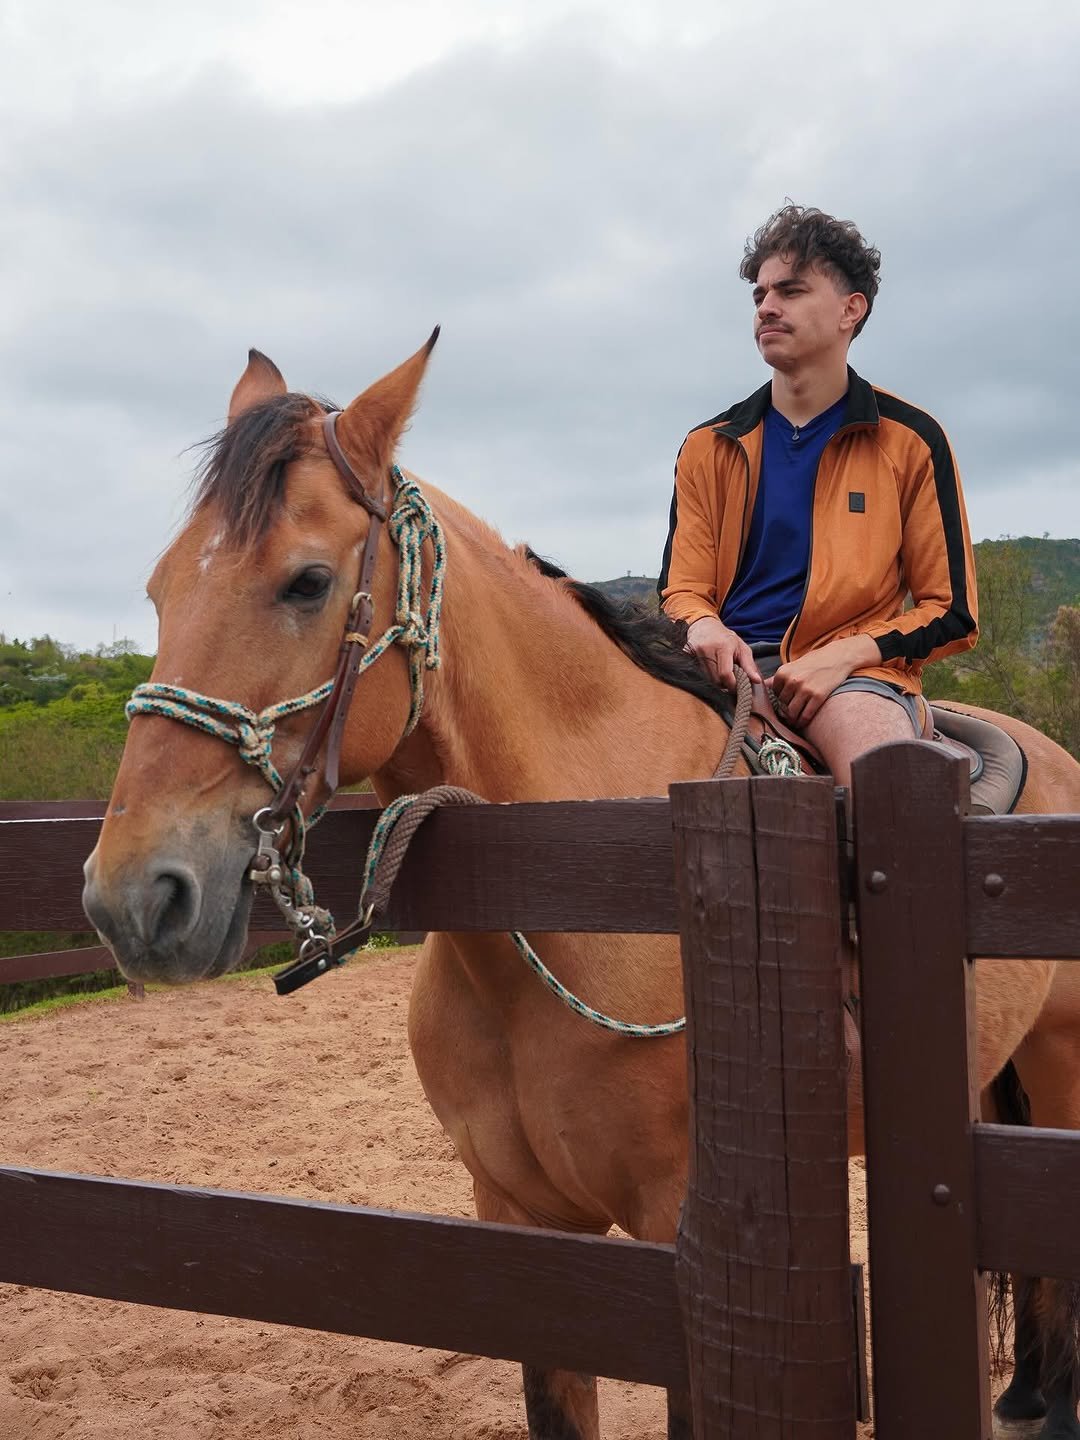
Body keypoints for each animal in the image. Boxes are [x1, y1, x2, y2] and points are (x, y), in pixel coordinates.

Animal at [83, 335, 1080, 1439]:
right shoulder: (525, 1228)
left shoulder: (680, 1244)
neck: (581, 889)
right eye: (160, 590)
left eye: (305, 581)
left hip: (1063, 1063)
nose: (134, 899)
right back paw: (1027, 1390)